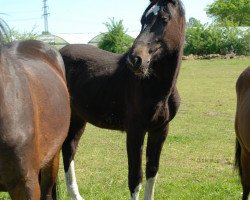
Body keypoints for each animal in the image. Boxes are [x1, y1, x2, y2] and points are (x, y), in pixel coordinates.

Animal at [60, 0, 186, 199]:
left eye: (164, 19)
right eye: (142, 20)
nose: (135, 59)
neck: (156, 88)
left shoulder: (160, 130)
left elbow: (152, 172)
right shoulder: (135, 131)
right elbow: (135, 179)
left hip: (78, 118)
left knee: (69, 149)